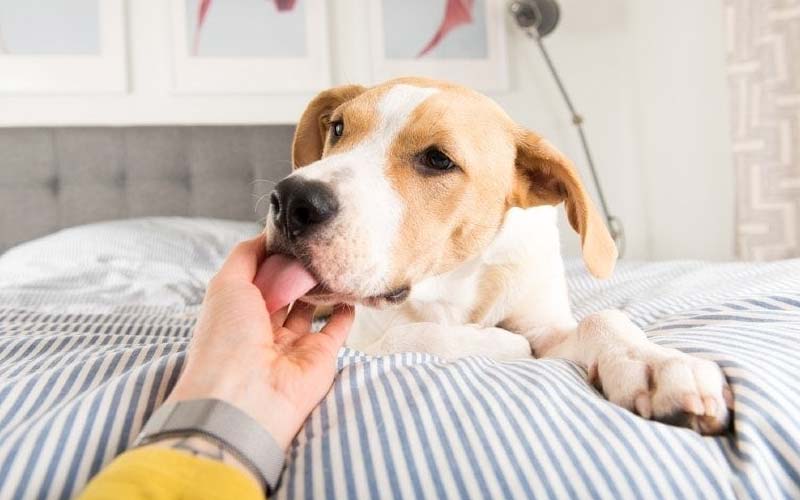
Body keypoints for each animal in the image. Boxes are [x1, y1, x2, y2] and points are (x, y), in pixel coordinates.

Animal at [262, 77, 732, 434]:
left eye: (438, 159)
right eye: (338, 129)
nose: (291, 201)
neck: (456, 281)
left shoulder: (546, 324)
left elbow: (602, 320)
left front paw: (655, 363)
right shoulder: (364, 334)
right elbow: (409, 335)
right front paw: (499, 343)